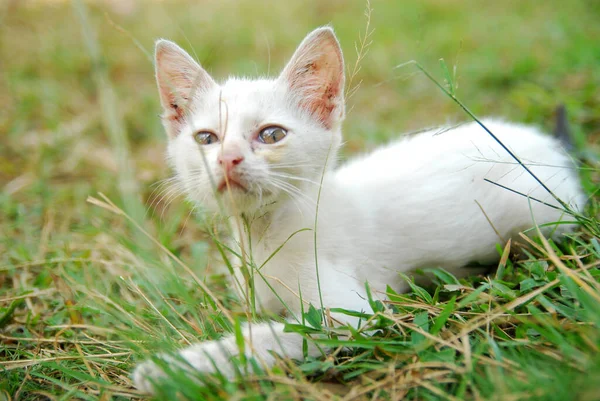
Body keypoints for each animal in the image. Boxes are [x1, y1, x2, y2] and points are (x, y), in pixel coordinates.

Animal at [134, 25, 584, 390]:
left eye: (272, 134)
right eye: (206, 139)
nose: (228, 159)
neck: (265, 236)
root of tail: (549, 144)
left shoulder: (354, 314)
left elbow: (271, 335)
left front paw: (174, 368)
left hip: (542, 216)